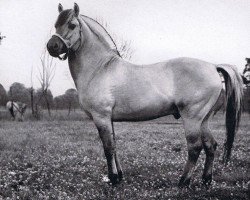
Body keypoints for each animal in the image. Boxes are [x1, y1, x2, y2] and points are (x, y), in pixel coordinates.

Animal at [46, 3, 242, 187]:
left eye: (71, 25)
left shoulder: (101, 117)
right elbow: (114, 146)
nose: (52, 46)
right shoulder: (109, 119)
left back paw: (183, 182)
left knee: (195, 147)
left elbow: (108, 148)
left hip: (192, 118)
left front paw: (113, 179)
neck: (100, 68)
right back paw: (206, 180)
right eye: (55, 25)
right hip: (204, 120)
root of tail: (212, 66)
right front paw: (119, 176)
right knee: (211, 146)